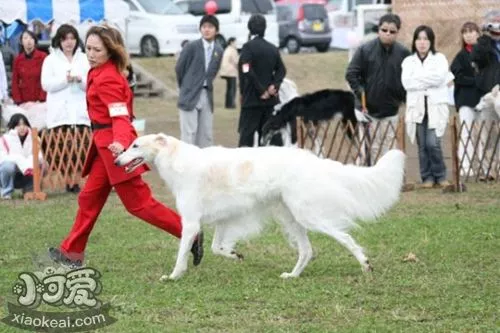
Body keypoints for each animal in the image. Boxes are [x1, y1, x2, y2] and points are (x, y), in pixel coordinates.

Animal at [114, 134, 406, 278]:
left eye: (135, 145)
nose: (116, 161)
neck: (177, 159)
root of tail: (313, 160)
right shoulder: (225, 220)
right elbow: (218, 248)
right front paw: (236, 255)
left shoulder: (191, 221)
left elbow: (182, 255)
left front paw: (174, 276)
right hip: (291, 218)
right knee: (307, 251)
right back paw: (292, 275)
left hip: (307, 215)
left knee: (345, 237)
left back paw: (365, 264)